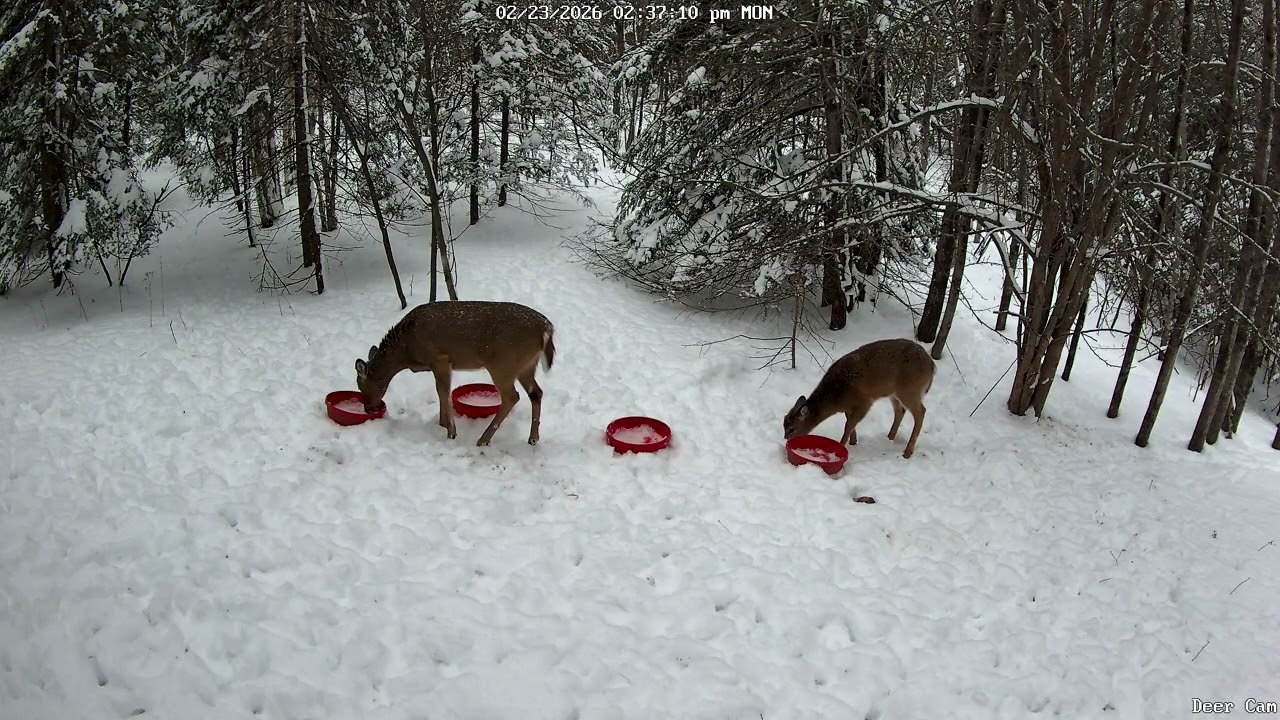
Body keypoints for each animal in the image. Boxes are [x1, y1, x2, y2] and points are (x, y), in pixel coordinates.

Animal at [354, 300, 556, 446]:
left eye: (361, 385)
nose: (368, 409)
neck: (407, 350)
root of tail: (546, 329)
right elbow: (443, 392)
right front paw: (442, 423)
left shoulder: (440, 358)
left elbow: (443, 391)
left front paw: (451, 432)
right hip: (526, 365)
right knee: (536, 393)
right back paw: (533, 438)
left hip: (503, 363)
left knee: (512, 396)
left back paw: (483, 440)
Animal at [783, 337, 936, 459]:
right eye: (784, 424)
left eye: (792, 429)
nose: (786, 439)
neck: (837, 396)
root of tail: (932, 366)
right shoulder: (849, 407)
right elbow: (850, 422)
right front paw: (853, 441)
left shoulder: (864, 401)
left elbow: (848, 425)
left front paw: (842, 445)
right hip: (894, 393)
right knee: (900, 411)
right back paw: (889, 438)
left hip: (910, 389)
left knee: (920, 412)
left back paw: (907, 452)